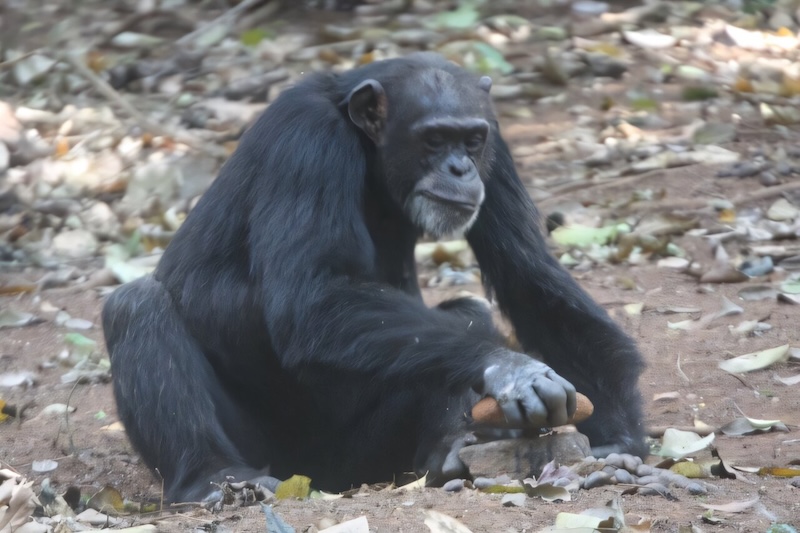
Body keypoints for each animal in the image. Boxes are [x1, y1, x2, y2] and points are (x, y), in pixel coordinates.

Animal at [103, 53, 648, 502]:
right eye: (434, 139)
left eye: (472, 140)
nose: (461, 168)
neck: (367, 148)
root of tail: (315, 476)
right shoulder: (307, 141)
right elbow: (312, 300)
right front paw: (510, 368)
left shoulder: (498, 149)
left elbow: (527, 274)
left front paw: (620, 432)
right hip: (271, 453)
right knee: (135, 305)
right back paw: (213, 477)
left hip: (367, 454)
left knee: (464, 312)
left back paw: (449, 450)